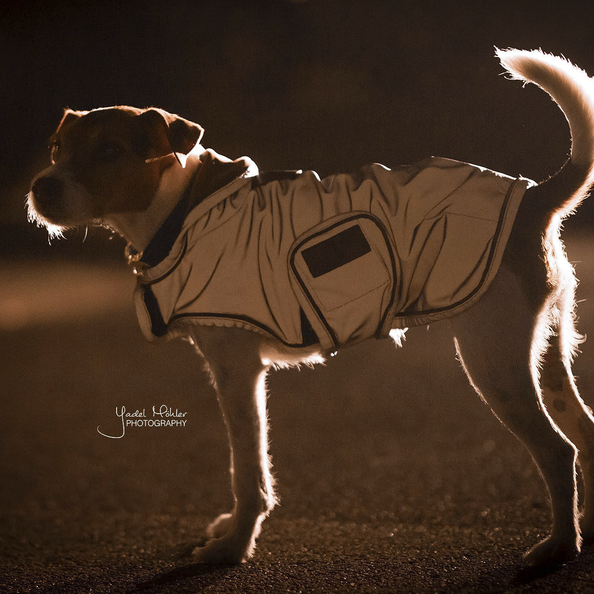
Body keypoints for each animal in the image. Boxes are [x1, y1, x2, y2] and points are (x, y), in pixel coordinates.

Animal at [25, 49, 592, 564]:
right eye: (57, 148)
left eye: (109, 150)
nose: (39, 188)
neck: (180, 212)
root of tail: (533, 197)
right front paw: (233, 531)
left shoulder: (237, 372)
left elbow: (247, 469)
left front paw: (234, 546)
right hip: (547, 352)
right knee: (584, 432)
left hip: (494, 362)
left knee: (558, 450)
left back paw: (560, 546)